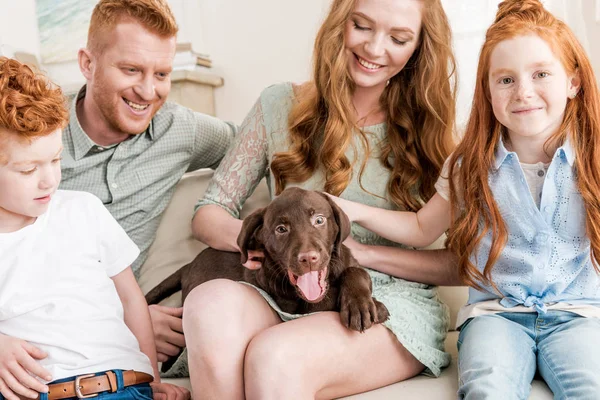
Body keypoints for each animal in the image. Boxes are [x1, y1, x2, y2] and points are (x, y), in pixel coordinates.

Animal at [146, 188, 390, 332]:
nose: (308, 258)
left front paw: (361, 304)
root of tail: (189, 265)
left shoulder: (350, 262)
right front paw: (370, 306)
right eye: (281, 229)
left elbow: (357, 271)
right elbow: (325, 301)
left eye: (319, 220)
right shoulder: (297, 309)